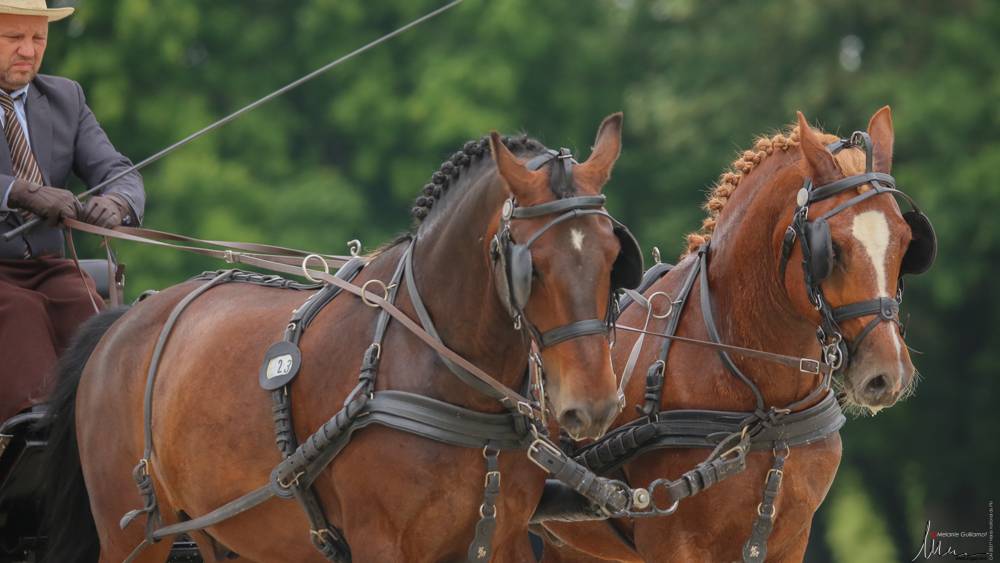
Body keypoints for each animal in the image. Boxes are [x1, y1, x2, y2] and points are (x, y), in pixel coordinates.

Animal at [41, 112, 640, 560]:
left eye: (614, 256)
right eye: (531, 267)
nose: (593, 405)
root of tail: (123, 321)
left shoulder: (507, 538)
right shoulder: (382, 543)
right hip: (133, 535)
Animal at [536, 108, 932, 560]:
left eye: (906, 242)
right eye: (833, 250)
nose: (887, 374)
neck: (768, 408)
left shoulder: (792, 538)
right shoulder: (671, 540)